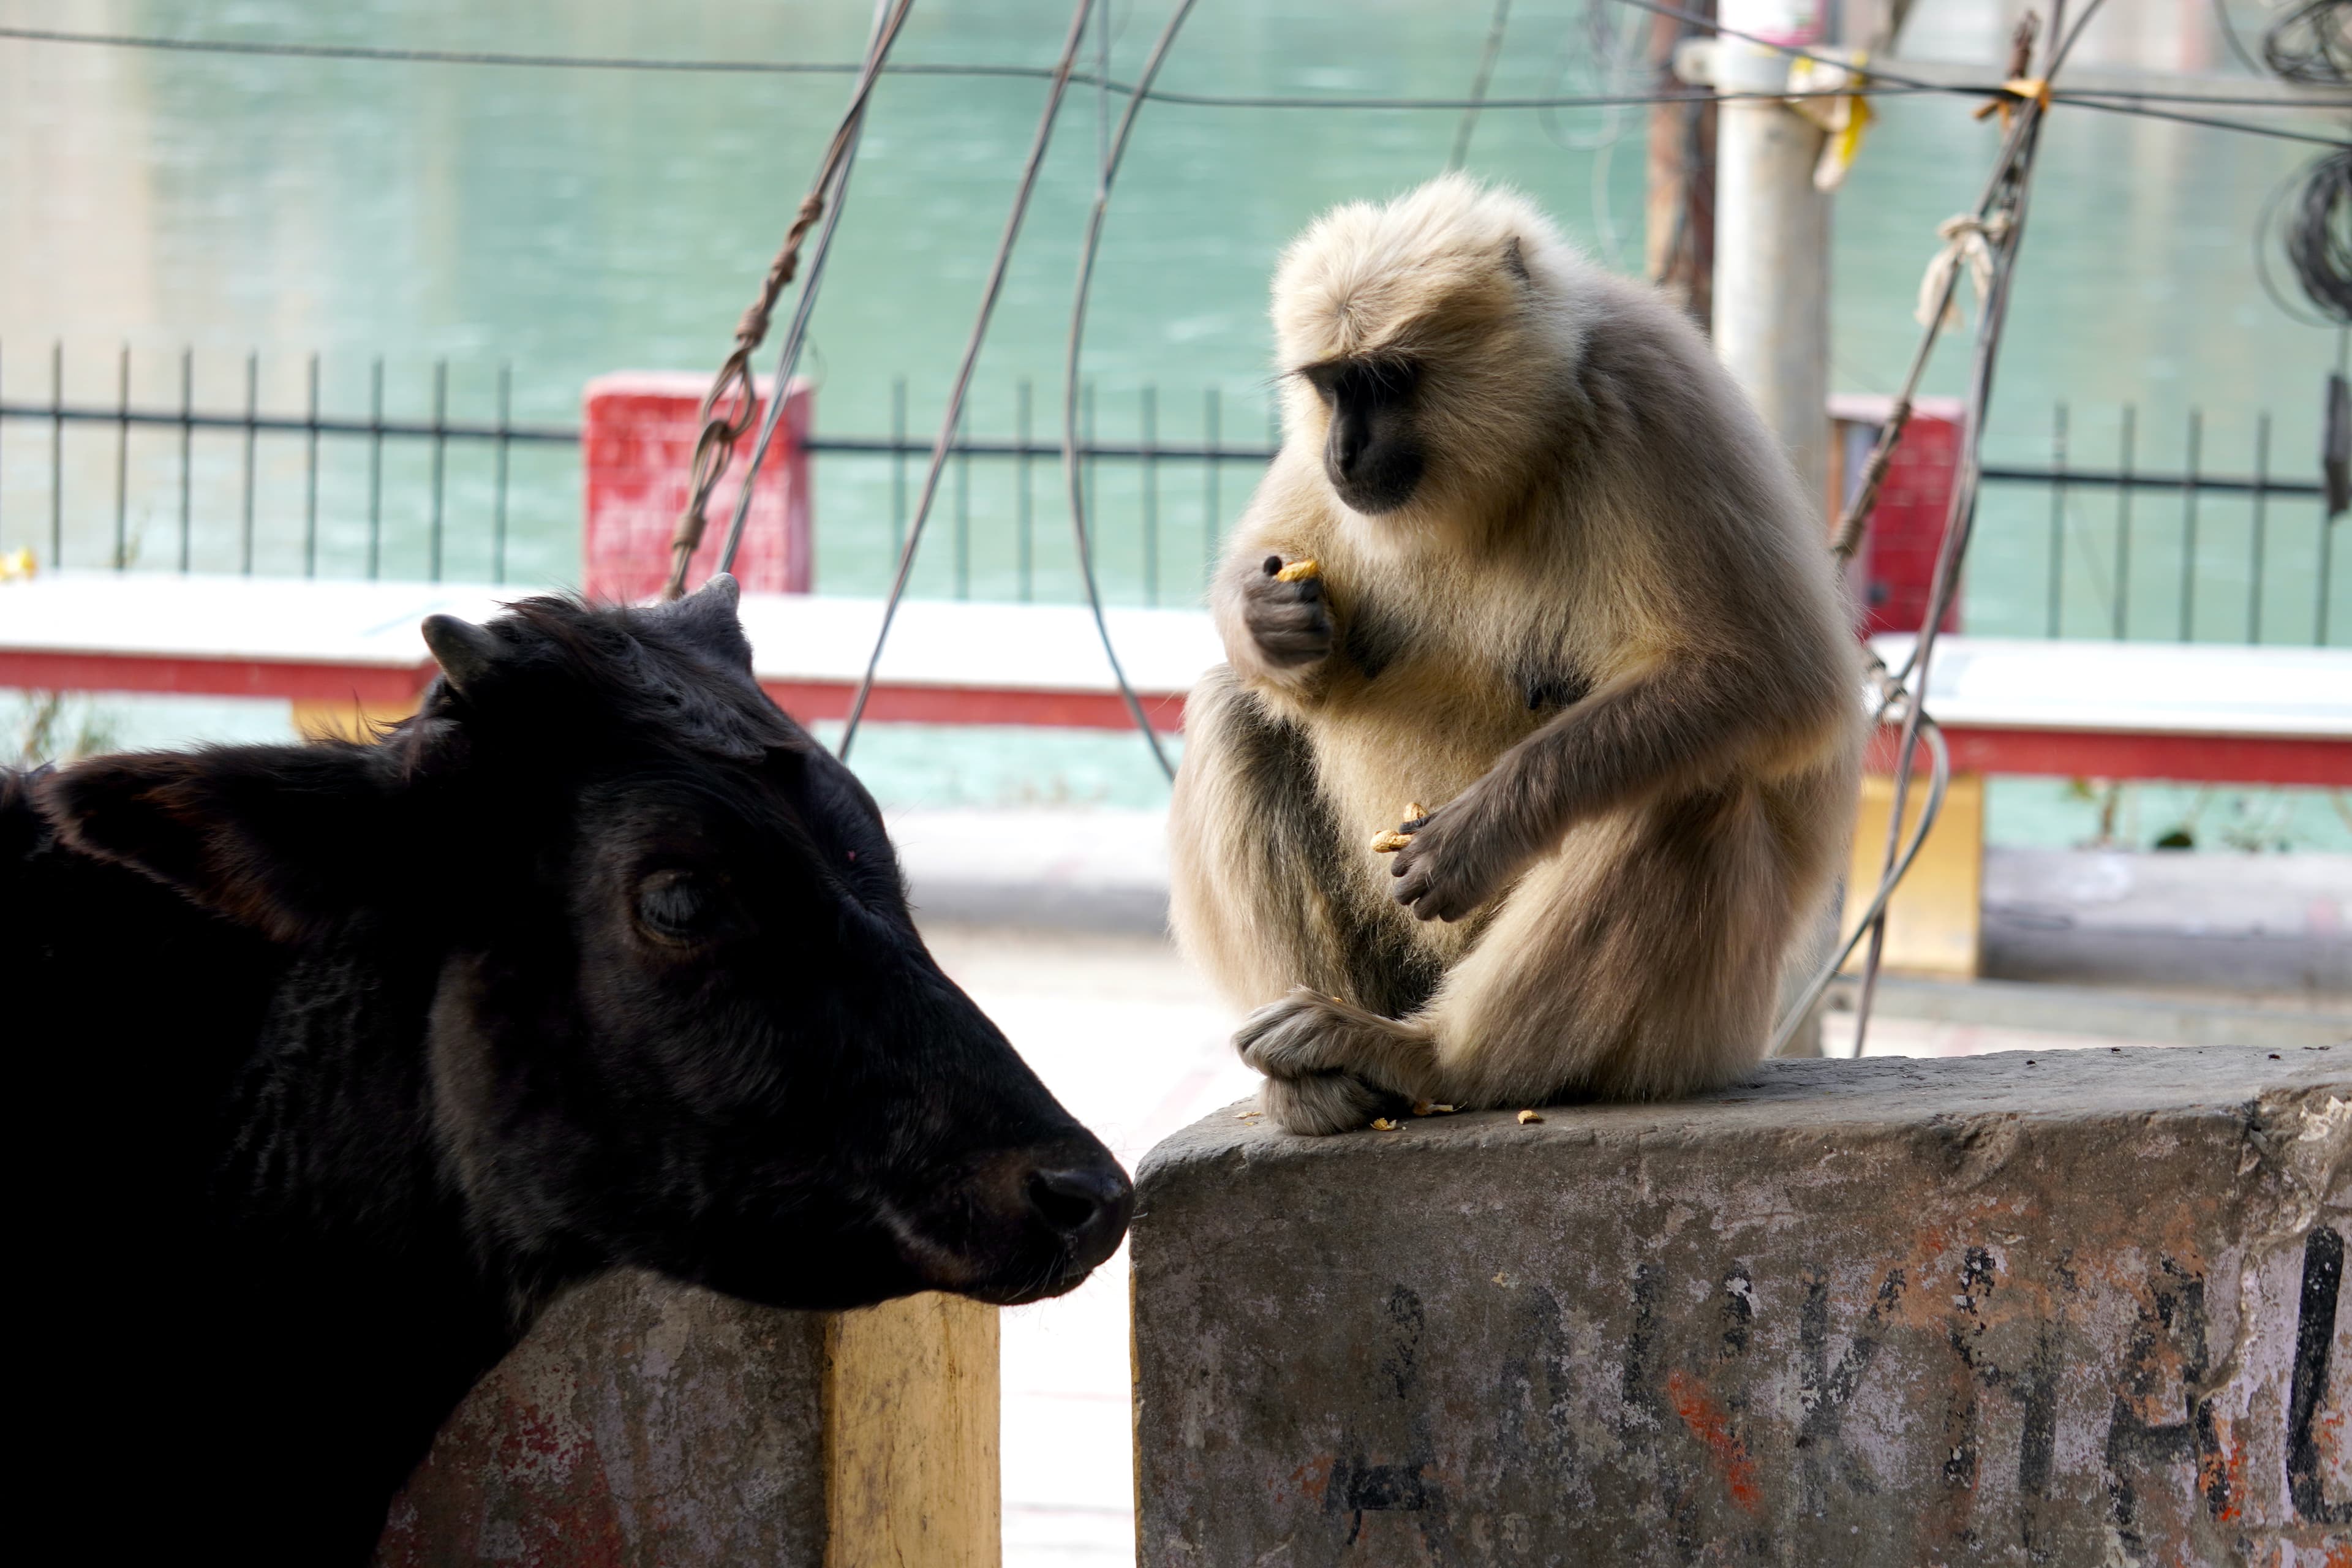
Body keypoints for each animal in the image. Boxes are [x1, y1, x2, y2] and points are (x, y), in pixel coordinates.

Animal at [1167, 174, 1863, 1136]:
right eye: (1332, 386)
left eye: (1386, 381)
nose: (1343, 448)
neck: (1518, 459)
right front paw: (1264, 619)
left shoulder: (1649, 391)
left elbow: (1777, 682)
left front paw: (1482, 832)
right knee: (1236, 712)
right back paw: (1329, 1080)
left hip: (1697, 1036)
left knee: (1682, 795)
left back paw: (1431, 1057)